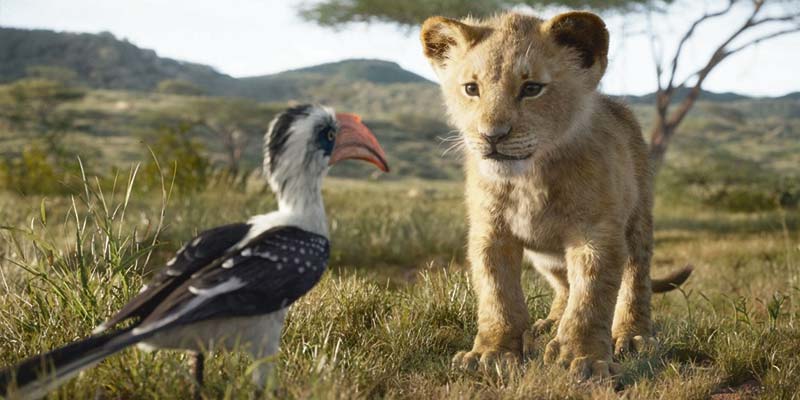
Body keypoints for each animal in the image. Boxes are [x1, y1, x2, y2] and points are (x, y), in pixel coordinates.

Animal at [419, 11, 692, 379]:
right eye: (471, 89)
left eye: (532, 88)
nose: (492, 136)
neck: (528, 179)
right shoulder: (490, 232)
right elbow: (497, 294)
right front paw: (492, 352)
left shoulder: (596, 233)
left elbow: (591, 297)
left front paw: (583, 358)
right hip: (545, 256)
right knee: (564, 285)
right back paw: (548, 324)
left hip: (638, 221)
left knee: (635, 279)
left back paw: (632, 336)